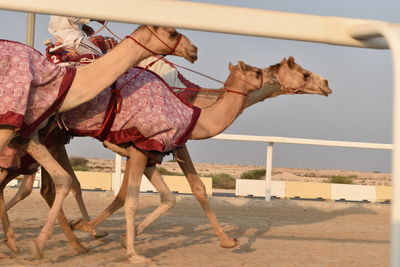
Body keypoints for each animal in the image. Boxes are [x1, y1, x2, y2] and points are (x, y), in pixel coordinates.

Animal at [0, 25, 198, 260]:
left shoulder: (28, 133)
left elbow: (65, 179)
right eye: (172, 33)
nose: (193, 50)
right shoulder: (13, 124)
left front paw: (40, 243)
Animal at [1, 57, 330, 264]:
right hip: (47, 135)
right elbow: (189, 189)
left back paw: (48, 241)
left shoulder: (151, 153)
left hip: (52, 139)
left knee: (44, 184)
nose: (326, 83)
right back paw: (43, 241)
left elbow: (169, 195)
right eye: (304, 73)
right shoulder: (158, 146)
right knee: (46, 181)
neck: (199, 107)